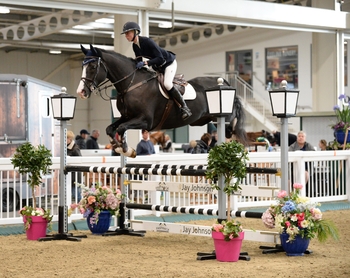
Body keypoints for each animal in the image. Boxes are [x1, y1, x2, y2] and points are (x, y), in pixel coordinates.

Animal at [76, 43, 249, 156]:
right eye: (82, 66)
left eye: (92, 67)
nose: (81, 92)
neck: (132, 83)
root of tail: (224, 82)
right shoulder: (127, 116)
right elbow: (111, 129)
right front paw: (119, 147)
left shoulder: (145, 121)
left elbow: (120, 129)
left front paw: (125, 149)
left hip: (223, 119)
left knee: (231, 128)